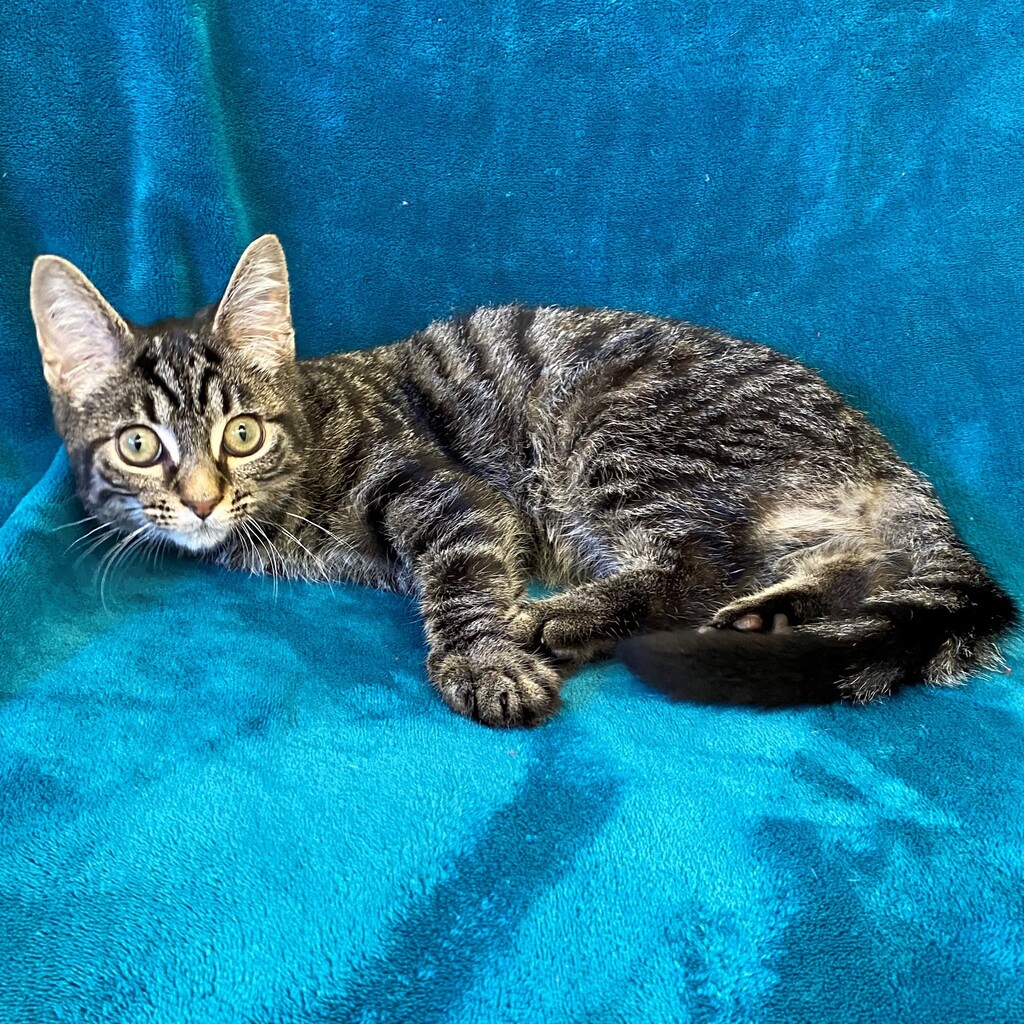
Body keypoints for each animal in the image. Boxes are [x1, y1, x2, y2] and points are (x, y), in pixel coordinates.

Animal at [30, 235, 1018, 725]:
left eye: (241, 432)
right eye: (139, 446)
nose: (201, 498)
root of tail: (887, 460)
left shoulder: (452, 493)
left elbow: (462, 579)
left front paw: (484, 660)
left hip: (622, 432)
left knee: (692, 564)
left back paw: (559, 621)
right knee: (816, 572)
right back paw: (764, 619)